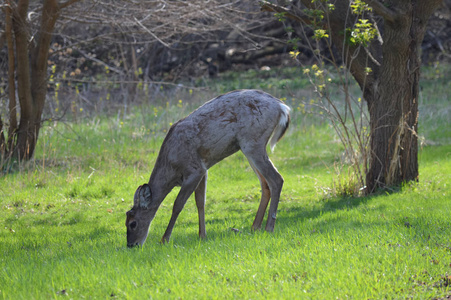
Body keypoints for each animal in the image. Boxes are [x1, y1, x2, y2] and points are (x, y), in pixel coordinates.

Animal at [125, 88, 292, 246]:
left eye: (133, 223)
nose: (131, 245)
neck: (171, 167)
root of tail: (282, 107)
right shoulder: (203, 170)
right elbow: (200, 203)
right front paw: (202, 236)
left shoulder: (194, 169)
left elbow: (178, 204)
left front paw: (164, 239)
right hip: (249, 147)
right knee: (265, 184)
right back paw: (255, 227)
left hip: (252, 142)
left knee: (276, 179)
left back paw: (269, 228)